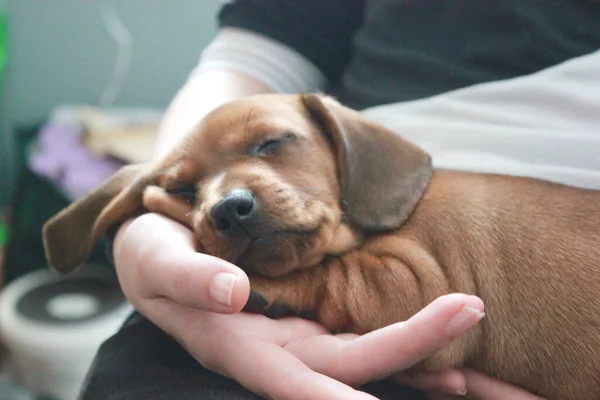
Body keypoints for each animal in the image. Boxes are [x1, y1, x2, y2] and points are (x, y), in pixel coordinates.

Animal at [42, 94, 600, 400]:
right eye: (182, 189)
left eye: (271, 143)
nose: (229, 209)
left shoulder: (418, 282)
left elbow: (330, 276)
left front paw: (269, 287)